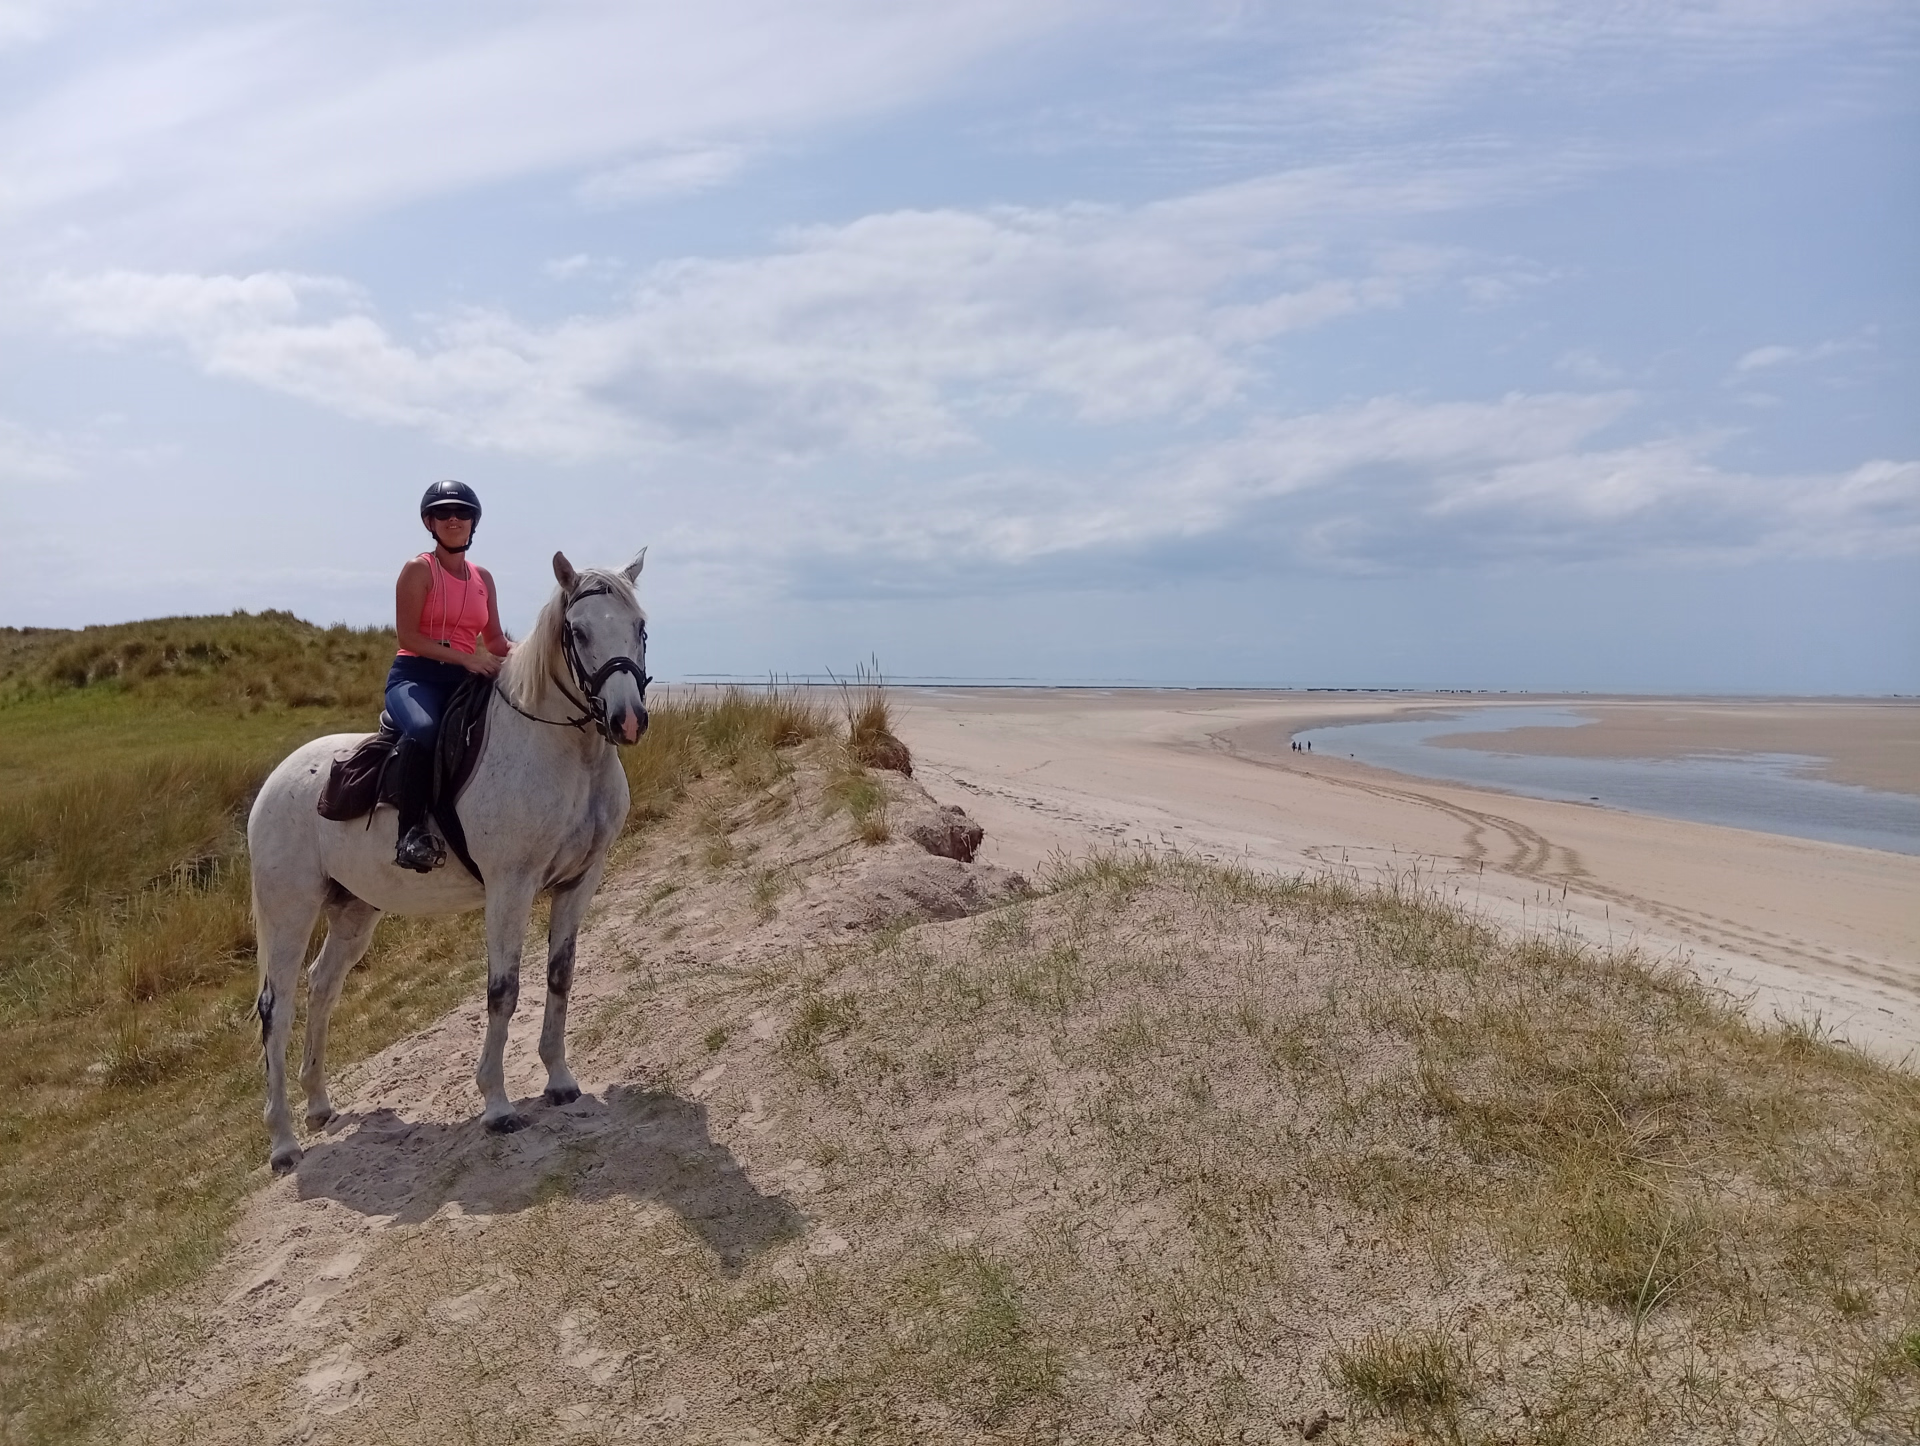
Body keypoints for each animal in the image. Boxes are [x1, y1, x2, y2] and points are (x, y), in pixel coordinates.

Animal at [246, 549, 650, 1171]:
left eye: (640, 627)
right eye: (578, 632)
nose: (627, 720)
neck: (565, 755)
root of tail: (276, 780)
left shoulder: (580, 882)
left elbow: (559, 975)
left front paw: (559, 1079)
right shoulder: (511, 887)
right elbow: (503, 989)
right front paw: (497, 1105)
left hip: (354, 912)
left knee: (322, 988)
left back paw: (318, 1105)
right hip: (288, 912)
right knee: (278, 1007)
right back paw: (284, 1141)